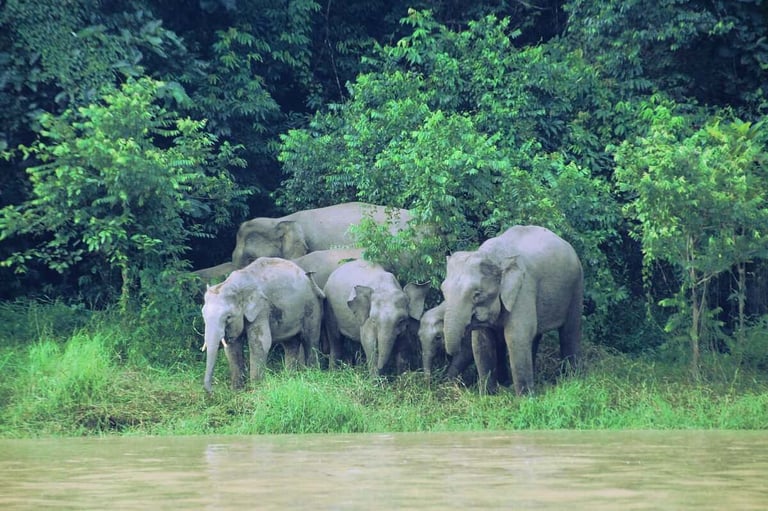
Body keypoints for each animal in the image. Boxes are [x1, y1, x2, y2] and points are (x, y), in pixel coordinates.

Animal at [201, 257, 325, 392]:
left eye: (228, 317)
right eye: (203, 315)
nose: (212, 390)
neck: (235, 284)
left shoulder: (261, 307)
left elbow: (260, 343)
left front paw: (256, 390)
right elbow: (232, 347)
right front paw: (236, 391)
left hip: (312, 305)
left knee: (310, 340)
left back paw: (313, 375)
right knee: (290, 343)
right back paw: (290, 379)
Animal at [440, 225, 583, 395]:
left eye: (477, 294)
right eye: (443, 290)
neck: (494, 256)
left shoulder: (523, 289)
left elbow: (516, 337)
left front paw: (525, 398)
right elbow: (481, 342)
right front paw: (488, 395)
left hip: (577, 286)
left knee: (569, 331)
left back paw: (572, 379)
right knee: (535, 335)